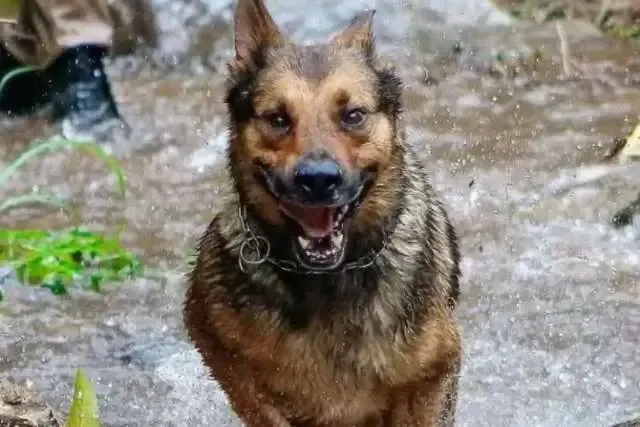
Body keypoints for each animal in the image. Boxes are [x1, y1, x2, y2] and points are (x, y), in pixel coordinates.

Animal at [182, 0, 462, 426]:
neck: (329, 278)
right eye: (277, 118)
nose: (318, 180)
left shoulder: (436, 369)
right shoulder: (216, 342)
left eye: (353, 115)